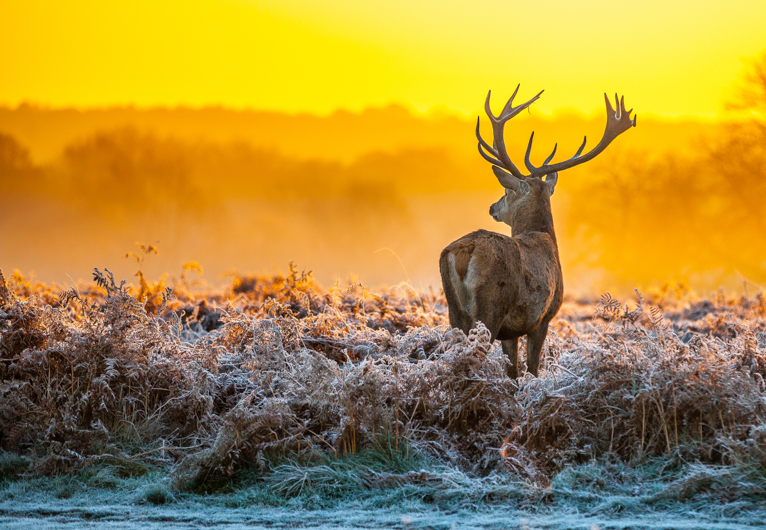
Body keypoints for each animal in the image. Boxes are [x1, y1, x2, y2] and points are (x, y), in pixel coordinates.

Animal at [440, 85, 640, 376]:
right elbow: (532, 368)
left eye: (505, 191)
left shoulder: (512, 331)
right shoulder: (543, 317)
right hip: (491, 307)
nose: (492, 207)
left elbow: (513, 372)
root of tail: (466, 251)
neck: (543, 237)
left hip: (454, 309)